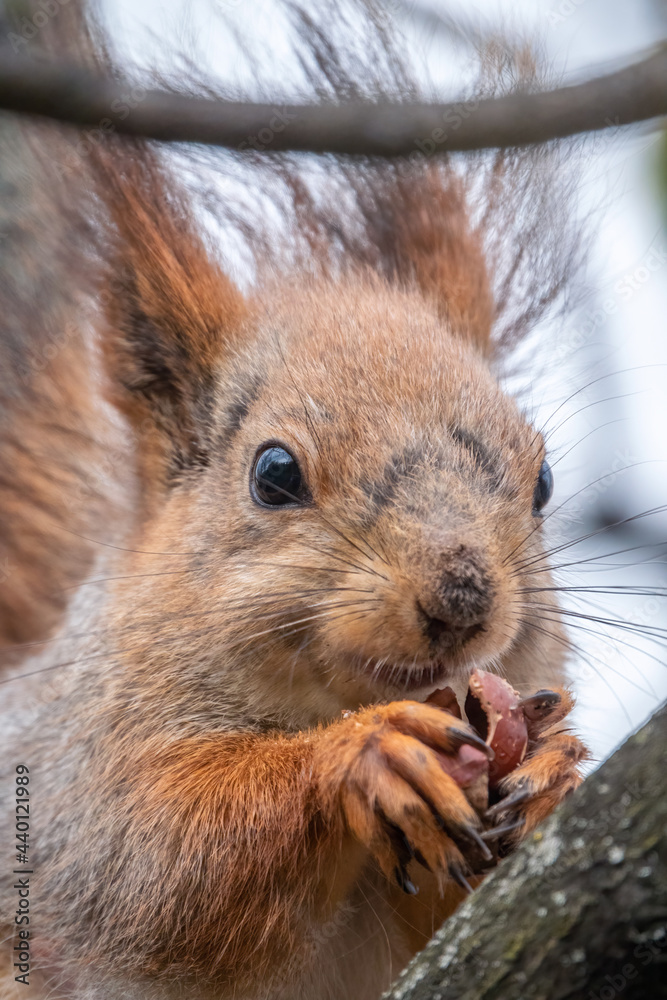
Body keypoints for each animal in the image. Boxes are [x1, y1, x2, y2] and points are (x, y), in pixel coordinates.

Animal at [0, 3, 590, 998]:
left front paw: (555, 774)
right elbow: (156, 863)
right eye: (273, 474)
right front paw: (365, 752)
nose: (461, 596)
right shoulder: (71, 783)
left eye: (542, 480)